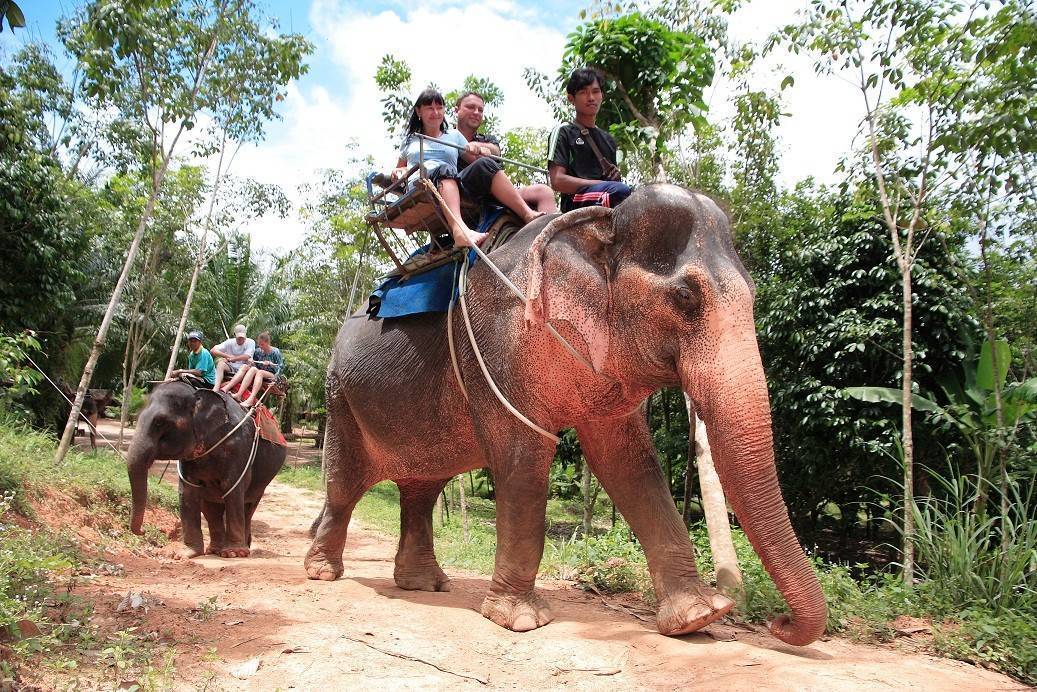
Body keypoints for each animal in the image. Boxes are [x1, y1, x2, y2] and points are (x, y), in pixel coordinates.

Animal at [126, 381, 288, 560]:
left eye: (160, 422)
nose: (143, 531)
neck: (197, 394)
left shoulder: (239, 447)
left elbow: (233, 489)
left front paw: (233, 553)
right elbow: (187, 492)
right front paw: (184, 554)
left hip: (263, 480)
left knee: (248, 506)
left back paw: (240, 550)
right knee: (211, 508)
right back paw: (215, 550)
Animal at [304, 185, 825, 651]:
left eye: (753, 295)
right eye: (684, 297)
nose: (779, 624)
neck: (598, 223)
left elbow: (629, 464)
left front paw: (699, 617)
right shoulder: (499, 346)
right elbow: (524, 457)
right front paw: (521, 620)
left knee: (422, 486)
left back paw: (425, 584)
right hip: (340, 398)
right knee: (345, 486)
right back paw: (323, 572)